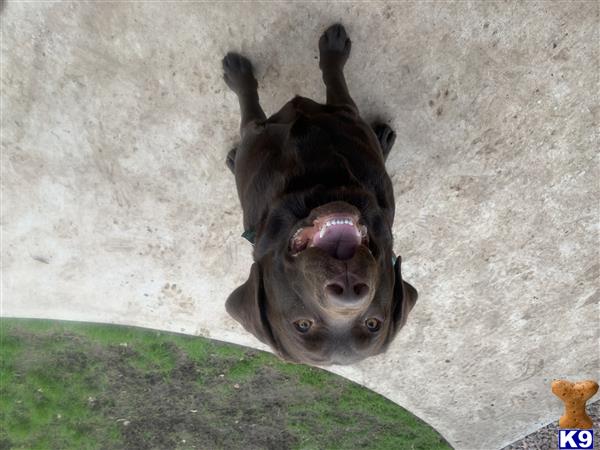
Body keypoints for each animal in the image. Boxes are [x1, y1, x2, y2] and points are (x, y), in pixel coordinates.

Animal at [221, 22, 418, 364]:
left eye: (373, 322)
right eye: (302, 324)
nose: (350, 290)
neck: (321, 187)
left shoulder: (344, 111)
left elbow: (331, 76)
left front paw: (333, 50)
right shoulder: (257, 134)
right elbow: (250, 103)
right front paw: (238, 75)